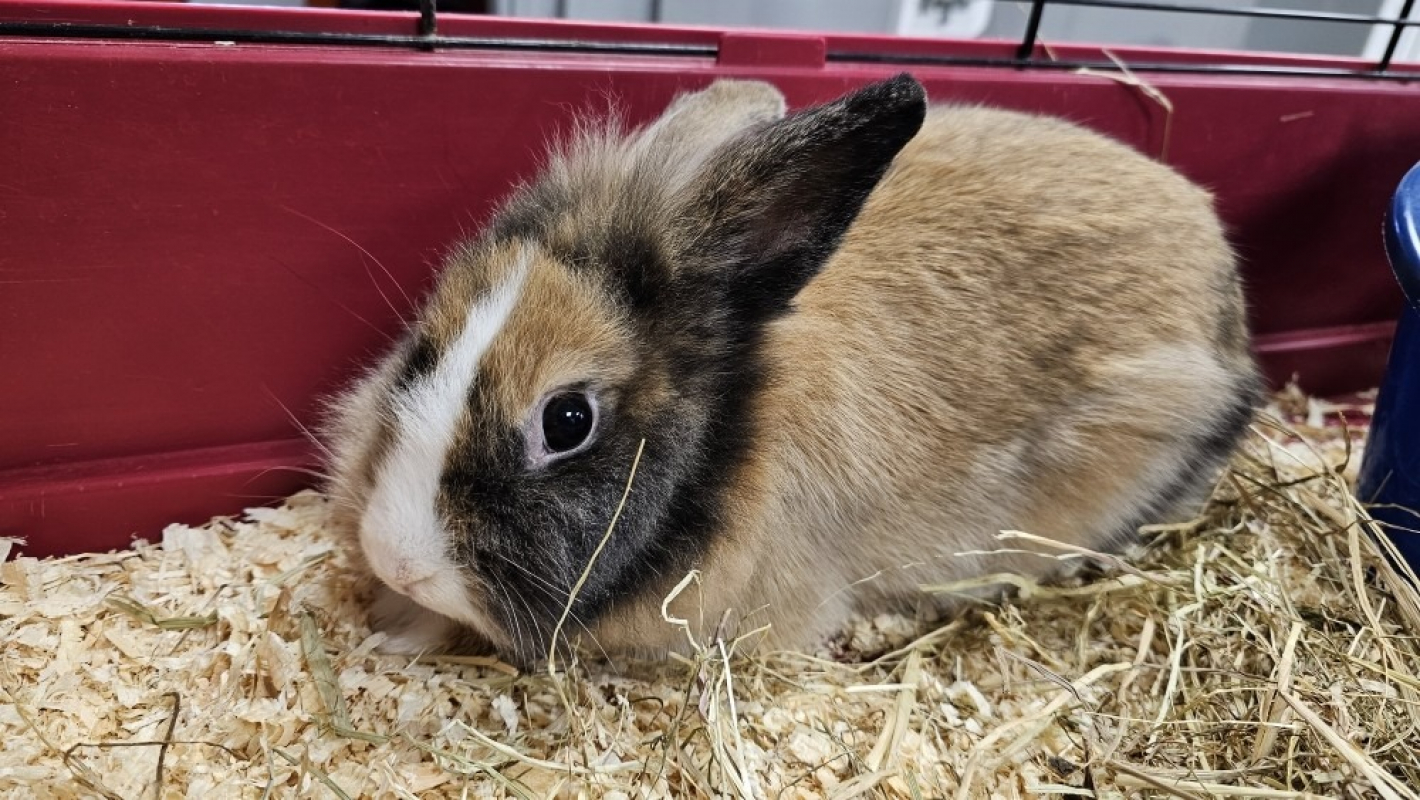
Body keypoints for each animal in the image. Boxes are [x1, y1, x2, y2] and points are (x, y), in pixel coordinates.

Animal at [324, 73, 1262, 668]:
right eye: (422, 350)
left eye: (567, 420)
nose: (394, 557)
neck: (735, 427)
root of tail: (1227, 284)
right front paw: (393, 629)